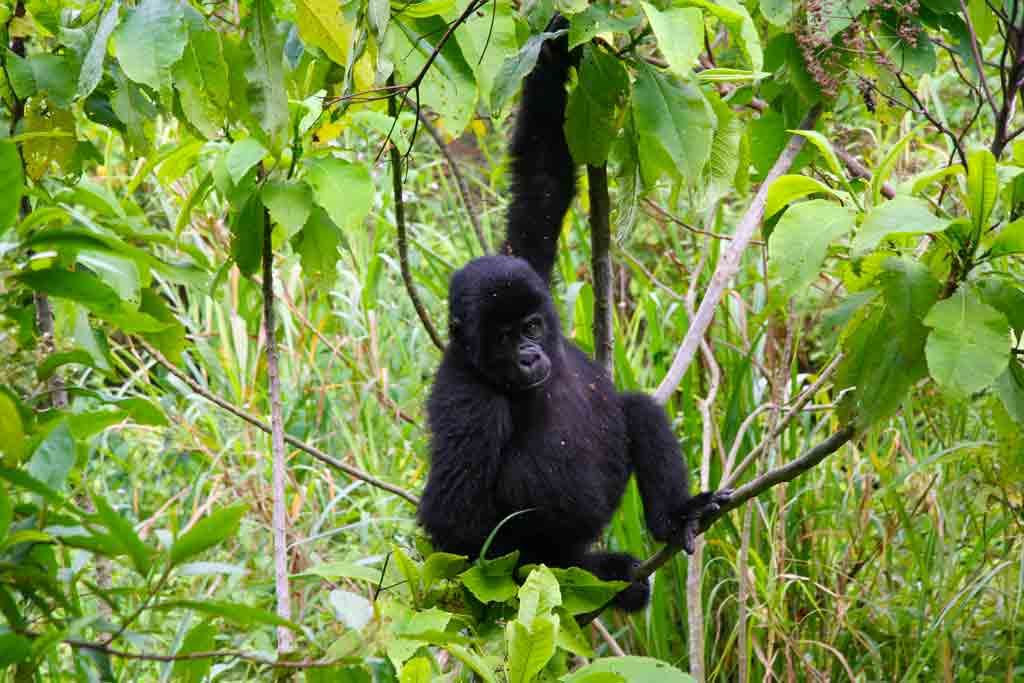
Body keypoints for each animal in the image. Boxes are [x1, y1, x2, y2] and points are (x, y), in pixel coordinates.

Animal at [415, 18, 729, 610]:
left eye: (532, 326)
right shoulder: (465, 400)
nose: (529, 354)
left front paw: (556, 44)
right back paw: (591, 570)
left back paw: (674, 518)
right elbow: (453, 521)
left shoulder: (526, 268)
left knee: (637, 407)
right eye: (504, 337)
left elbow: (542, 180)